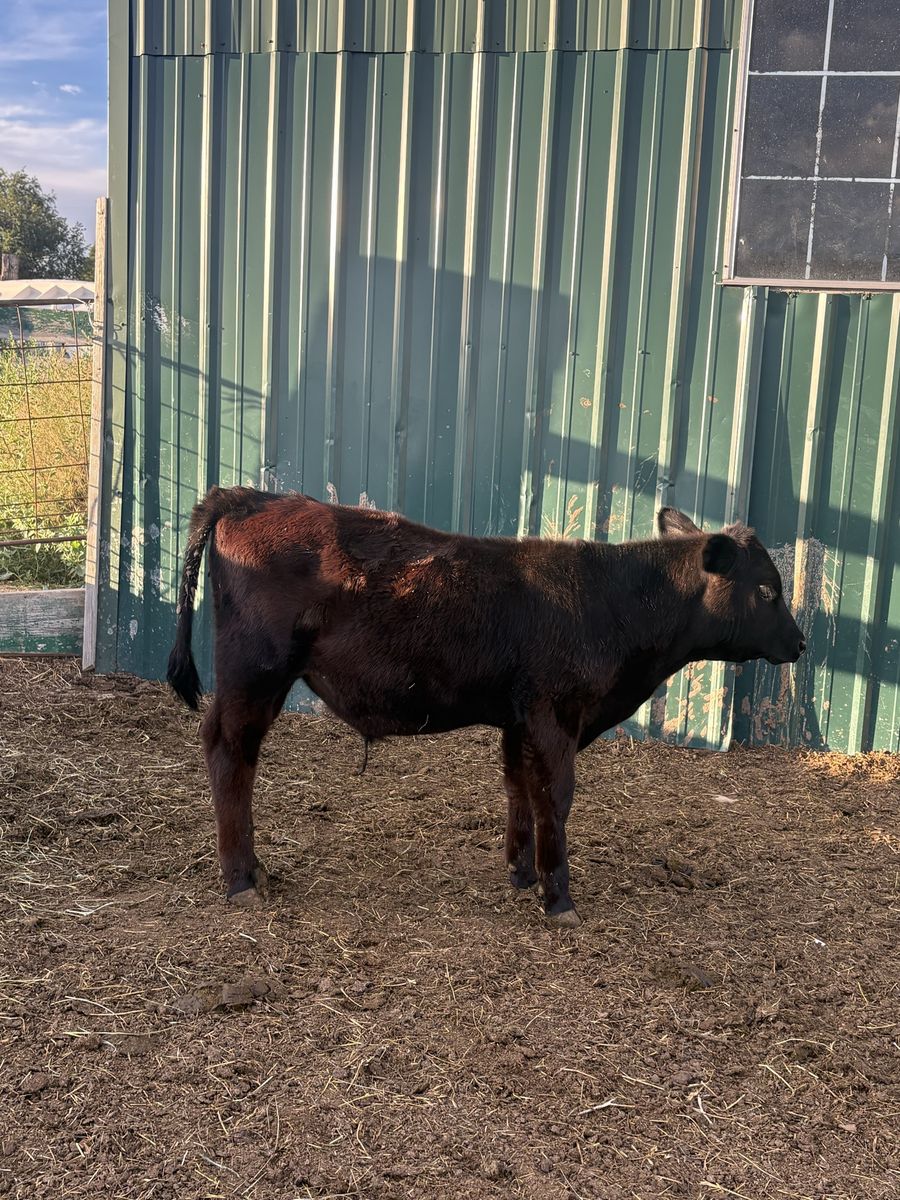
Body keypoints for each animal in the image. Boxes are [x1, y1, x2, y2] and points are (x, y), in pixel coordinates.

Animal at [167, 487, 805, 925]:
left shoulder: (519, 718)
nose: (800, 644)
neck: (613, 601)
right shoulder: (555, 713)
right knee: (229, 749)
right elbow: (555, 797)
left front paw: (520, 873)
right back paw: (241, 878)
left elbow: (520, 787)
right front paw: (558, 897)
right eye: (767, 589)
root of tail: (249, 496)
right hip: (255, 671)